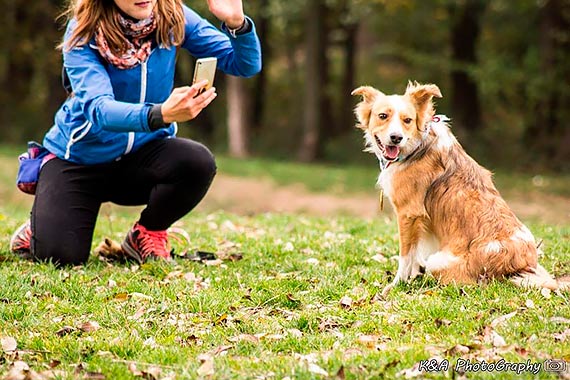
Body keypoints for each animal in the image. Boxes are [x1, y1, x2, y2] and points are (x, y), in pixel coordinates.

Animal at [350, 81, 564, 296]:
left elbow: (405, 256)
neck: (417, 146)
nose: (396, 138)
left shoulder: (408, 214)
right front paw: (413, 275)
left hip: (437, 261)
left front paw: (396, 285)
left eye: (407, 120)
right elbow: (415, 254)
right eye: (382, 116)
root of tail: (521, 266)